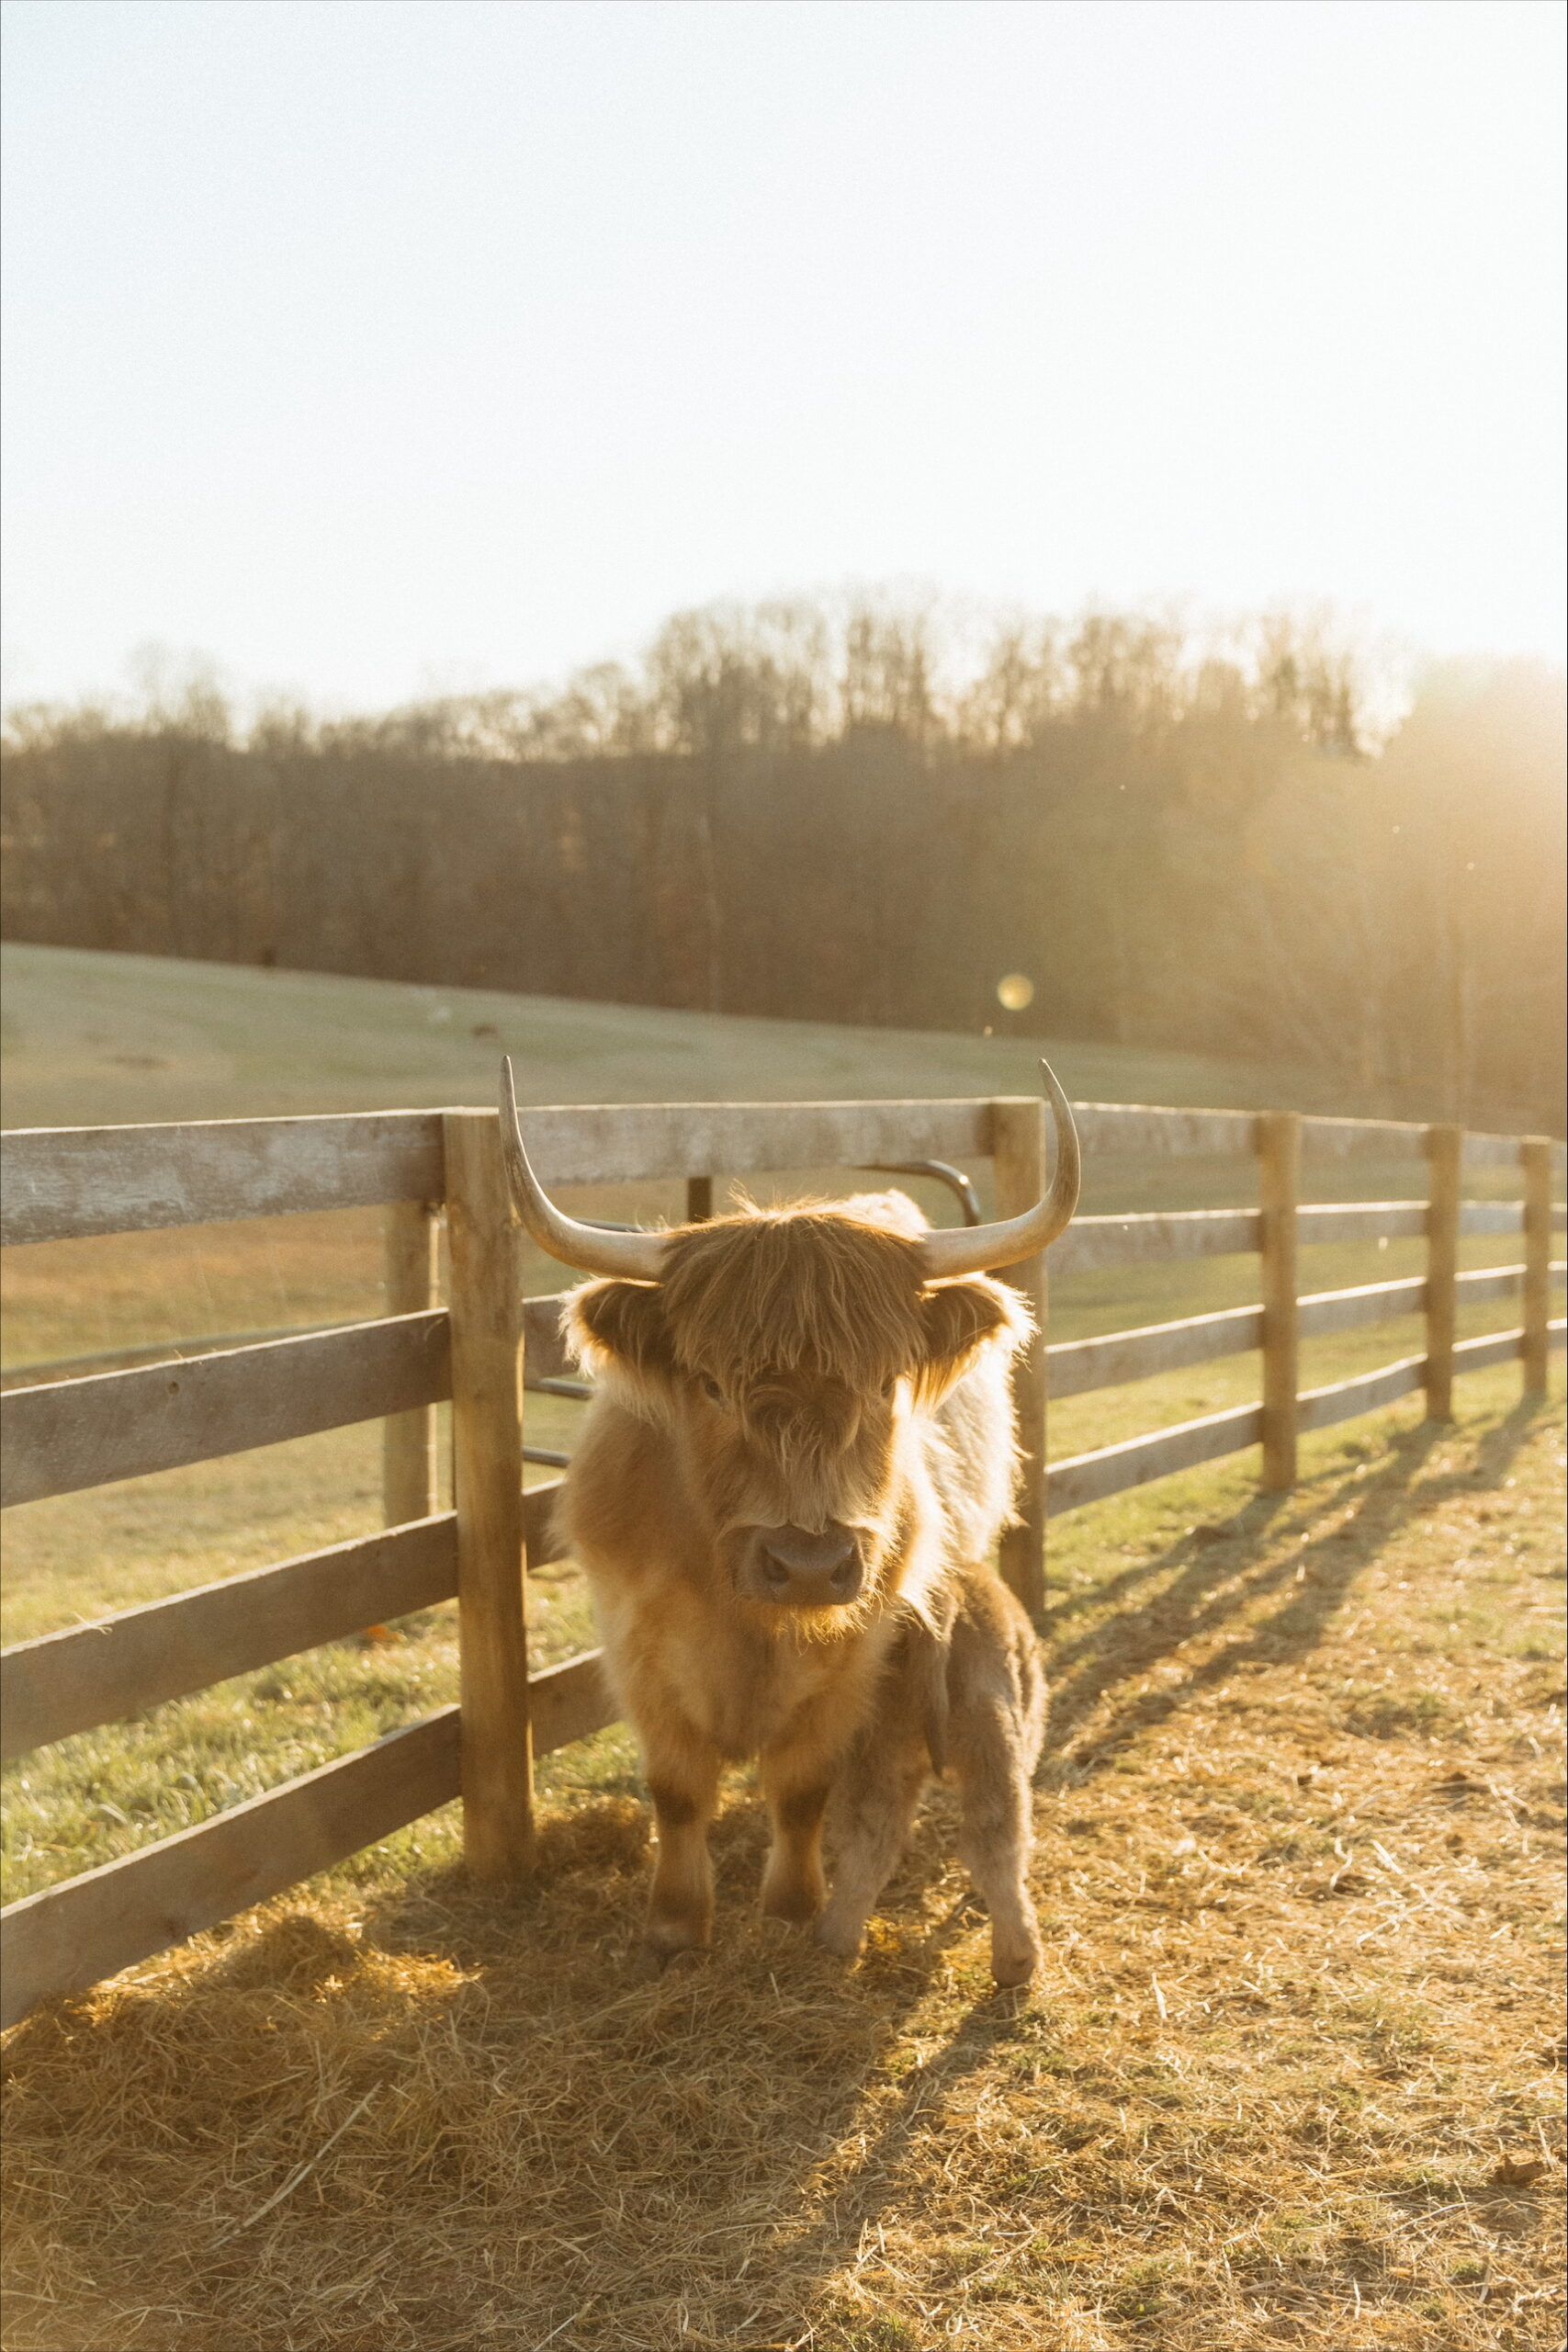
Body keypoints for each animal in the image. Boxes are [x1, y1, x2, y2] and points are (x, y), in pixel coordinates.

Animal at [500, 1058, 1080, 1985]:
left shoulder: (858, 1654)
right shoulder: (637, 1644)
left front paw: (790, 1910)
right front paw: (675, 1924)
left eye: (884, 1383)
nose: (807, 1563)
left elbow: (802, 1788)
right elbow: (678, 1791)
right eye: (707, 1384)